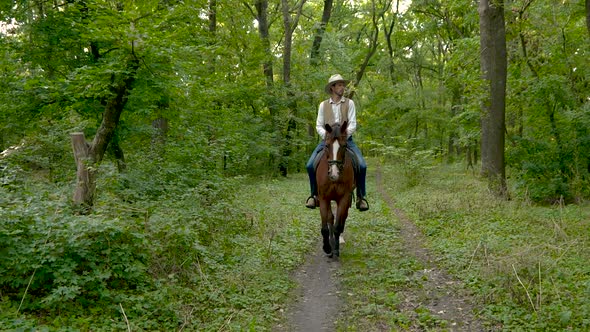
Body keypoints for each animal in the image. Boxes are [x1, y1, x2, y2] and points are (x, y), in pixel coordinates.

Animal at [320, 121, 356, 256]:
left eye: (344, 145)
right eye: (327, 145)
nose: (334, 174)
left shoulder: (344, 198)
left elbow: (337, 226)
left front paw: (335, 248)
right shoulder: (323, 198)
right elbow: (325, 226)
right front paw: (327, 248)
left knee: (341, 219)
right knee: (331, 218)